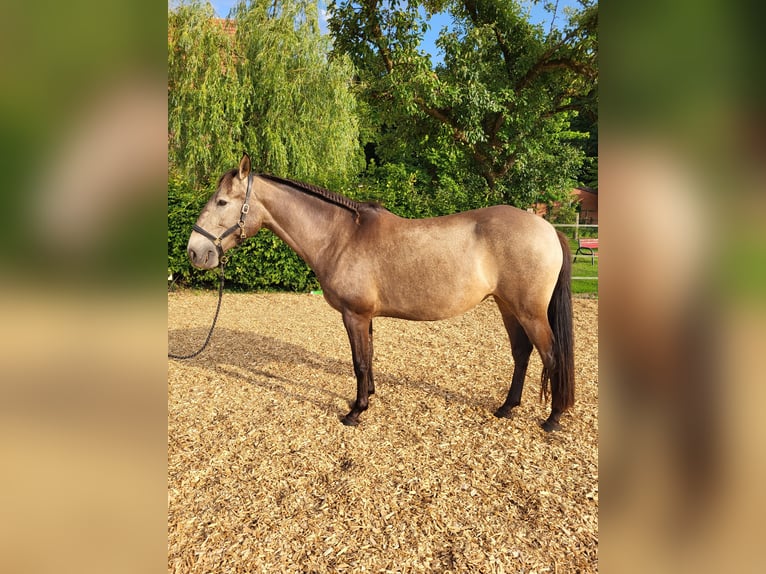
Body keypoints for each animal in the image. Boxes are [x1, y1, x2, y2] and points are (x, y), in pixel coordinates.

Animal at [186, 154, 575, 431]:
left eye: (221, 202)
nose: (194, 252)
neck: (340, 236)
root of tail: (548, 228)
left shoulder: (354, 314)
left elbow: (359, 361)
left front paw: (356, 411)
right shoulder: (366, 316)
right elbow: (369, 357)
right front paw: (369, 396)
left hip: (529, 311)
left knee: (551, 354)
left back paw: (552, 418)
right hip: (507, 306)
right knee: (522, 353)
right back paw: (507, 407)